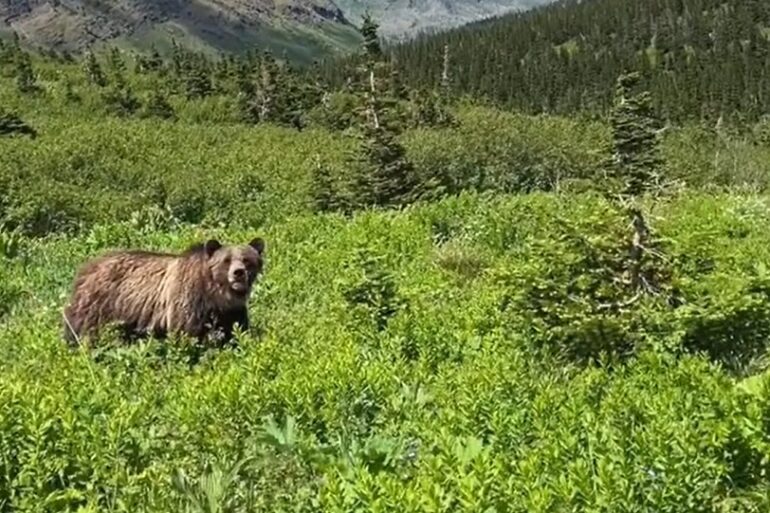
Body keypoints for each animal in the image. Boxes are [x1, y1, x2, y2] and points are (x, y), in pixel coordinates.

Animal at [62, 237, 265, 347]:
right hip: (99, 305)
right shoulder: (188, 300)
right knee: (84, 331)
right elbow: (187, 334)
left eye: (247, 260)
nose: (238, 273)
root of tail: (86, 268)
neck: (217, 295)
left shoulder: (231, 312)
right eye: (226, 260)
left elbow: (235, 331)